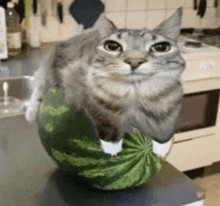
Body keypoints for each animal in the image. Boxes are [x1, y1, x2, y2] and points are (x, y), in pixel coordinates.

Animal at [24, 7, 185, 157]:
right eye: (112, 46)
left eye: (161, 47)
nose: (134, 61)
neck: (134, 93)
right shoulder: (88, 94)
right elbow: (105, 120)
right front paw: (112, 147)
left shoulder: (173, 102)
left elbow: (166, 127)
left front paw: (162, 148)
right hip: (49, 70)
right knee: (38, 87)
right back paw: (31, 112)